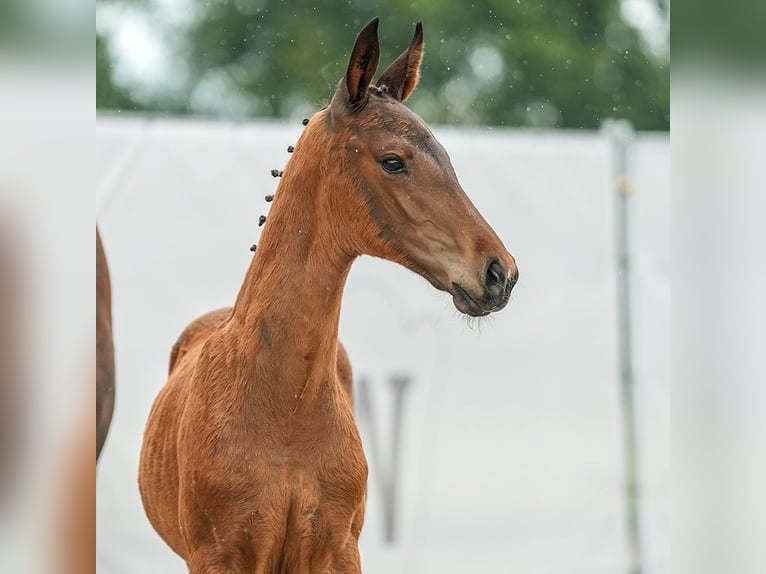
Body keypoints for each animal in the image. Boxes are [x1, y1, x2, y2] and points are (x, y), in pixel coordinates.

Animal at [141, 18, 520, 574]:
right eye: (393, 161)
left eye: (448, 158)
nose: (499, 273)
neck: (288, 410)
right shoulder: (219, 555)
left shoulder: (338, 550)